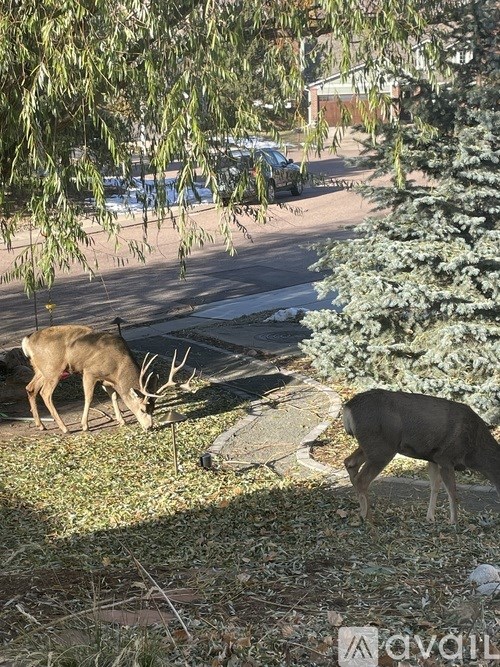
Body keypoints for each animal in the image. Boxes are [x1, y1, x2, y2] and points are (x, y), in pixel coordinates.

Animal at [21, 325, 195, 433]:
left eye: (154, 409)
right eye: (142, 409)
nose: (150, 427)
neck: (118, 367)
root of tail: (27, 340)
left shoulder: (107, 380)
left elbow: (114, 396)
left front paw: (121, 420)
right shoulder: (89, 371)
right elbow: (89, 397)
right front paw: (85, 425)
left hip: (41, 369)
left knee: (30, 388)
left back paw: (40, 425)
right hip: (53, 368)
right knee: (45, 393)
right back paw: (65, 428)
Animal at [343, 389, 500, 525]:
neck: (474, 452)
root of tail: (348, 408)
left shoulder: (433, 458)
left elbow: (435, 486)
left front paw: (430, 518)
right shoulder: (446, 457)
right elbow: (452, 492)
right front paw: (454, 522)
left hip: (371, 446)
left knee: (349, 463)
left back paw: (361, 514)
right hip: (381, 447)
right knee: (362, 479)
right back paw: (368, 518)